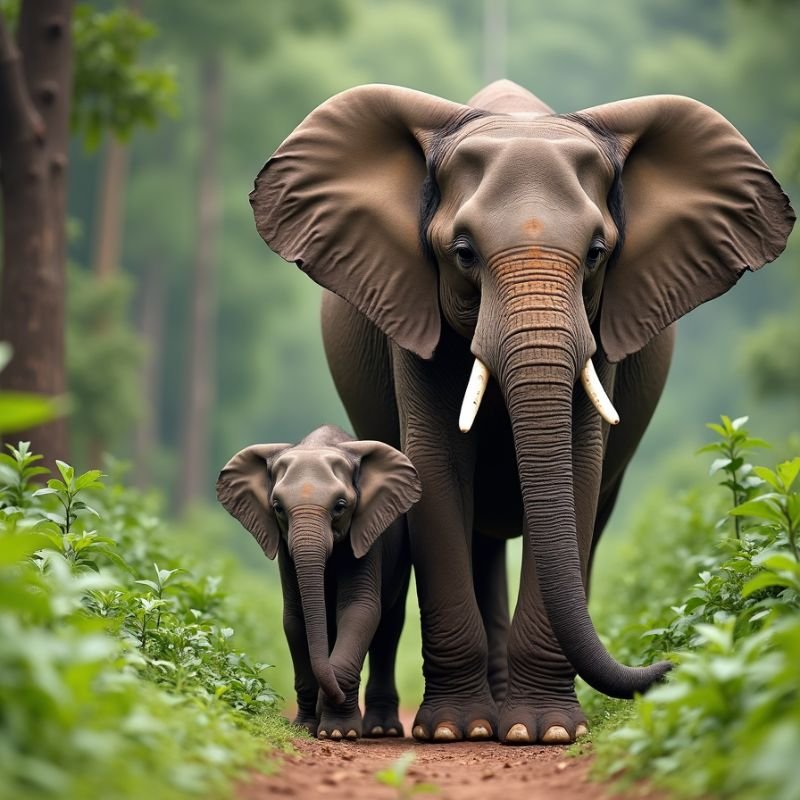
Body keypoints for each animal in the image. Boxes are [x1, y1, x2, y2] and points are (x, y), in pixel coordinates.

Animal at [216, 424, 421, 739]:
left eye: (340, 506)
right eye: (277, 507)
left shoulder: (366, 534)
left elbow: (359, 610)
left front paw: (338, 732)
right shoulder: (285, 549)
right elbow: (295, 617)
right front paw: (306, 727)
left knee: (388, 627)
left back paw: (379, 729)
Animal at [249, 80, 794, 744]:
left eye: (597, 252)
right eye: (463, 253)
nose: (671, 664)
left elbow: (581, 465)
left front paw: (546, 732)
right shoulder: (412, 309)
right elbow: (435, 463)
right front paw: (455, 731)